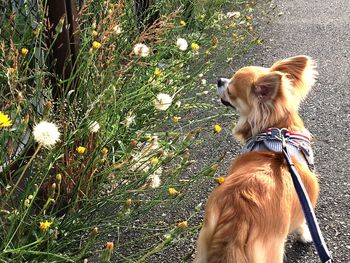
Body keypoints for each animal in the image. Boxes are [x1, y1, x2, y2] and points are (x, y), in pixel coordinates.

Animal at [194, 54, 320, 262]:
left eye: (230, 91)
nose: (219, 80)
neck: (279, 131)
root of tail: (238, 219)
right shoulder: (304, 204)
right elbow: (303, 223)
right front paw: (305, 236)